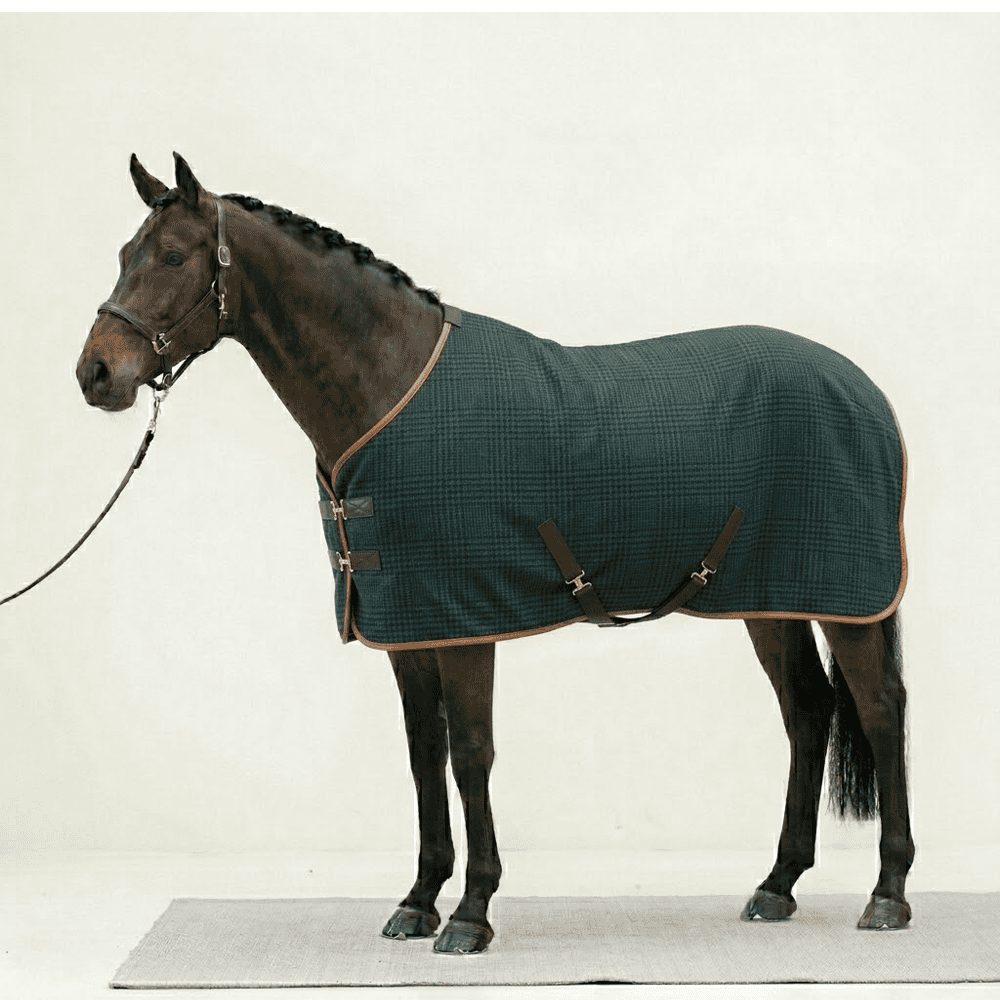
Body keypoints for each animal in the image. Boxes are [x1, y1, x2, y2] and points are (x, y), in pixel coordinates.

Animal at [75, 153, 914, 955]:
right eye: (123, 253)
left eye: (174, 255)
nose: (96, 373)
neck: (389, 391)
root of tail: (863, 390)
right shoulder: (409, 628)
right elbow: (424, 755)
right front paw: (417, 902)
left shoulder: (466, 623)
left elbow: (470, 754)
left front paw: (471, 914)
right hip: (771, 599)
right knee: (807, 711)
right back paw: (776, 885)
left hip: (848, 599)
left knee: (877, 709)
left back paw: (888, 895)